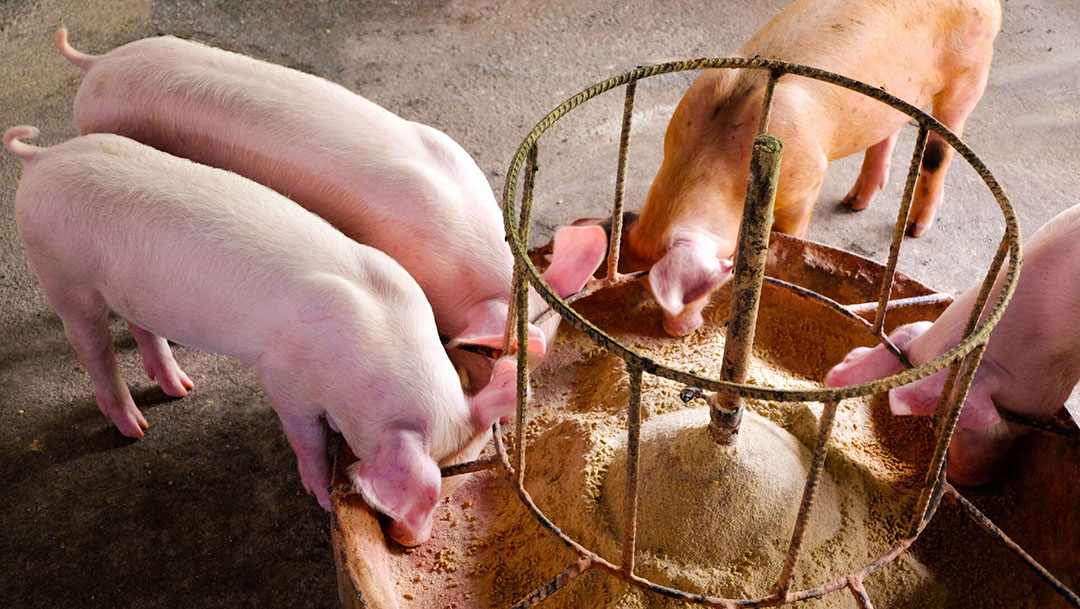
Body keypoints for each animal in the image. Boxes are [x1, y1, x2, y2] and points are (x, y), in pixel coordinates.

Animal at [4, 124, 518, 546]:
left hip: (131, 288)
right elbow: (304, 438)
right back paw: (135, 428)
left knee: (141, 327)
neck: (380, 337)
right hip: (62, 274)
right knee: (92, 347)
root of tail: (43, 157)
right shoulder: (281, 378)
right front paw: (323, 497)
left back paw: (181, 389)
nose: (410, 542)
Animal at [626, 0, 1002, 334]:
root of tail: (992, 5)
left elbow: (791, 232)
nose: (676, 331)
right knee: (888, 131)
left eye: (692, 291)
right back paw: (855, 203)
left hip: (970, 75)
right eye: (641, 282)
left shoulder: (808, 178)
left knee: (939, 151)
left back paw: (915, 228)